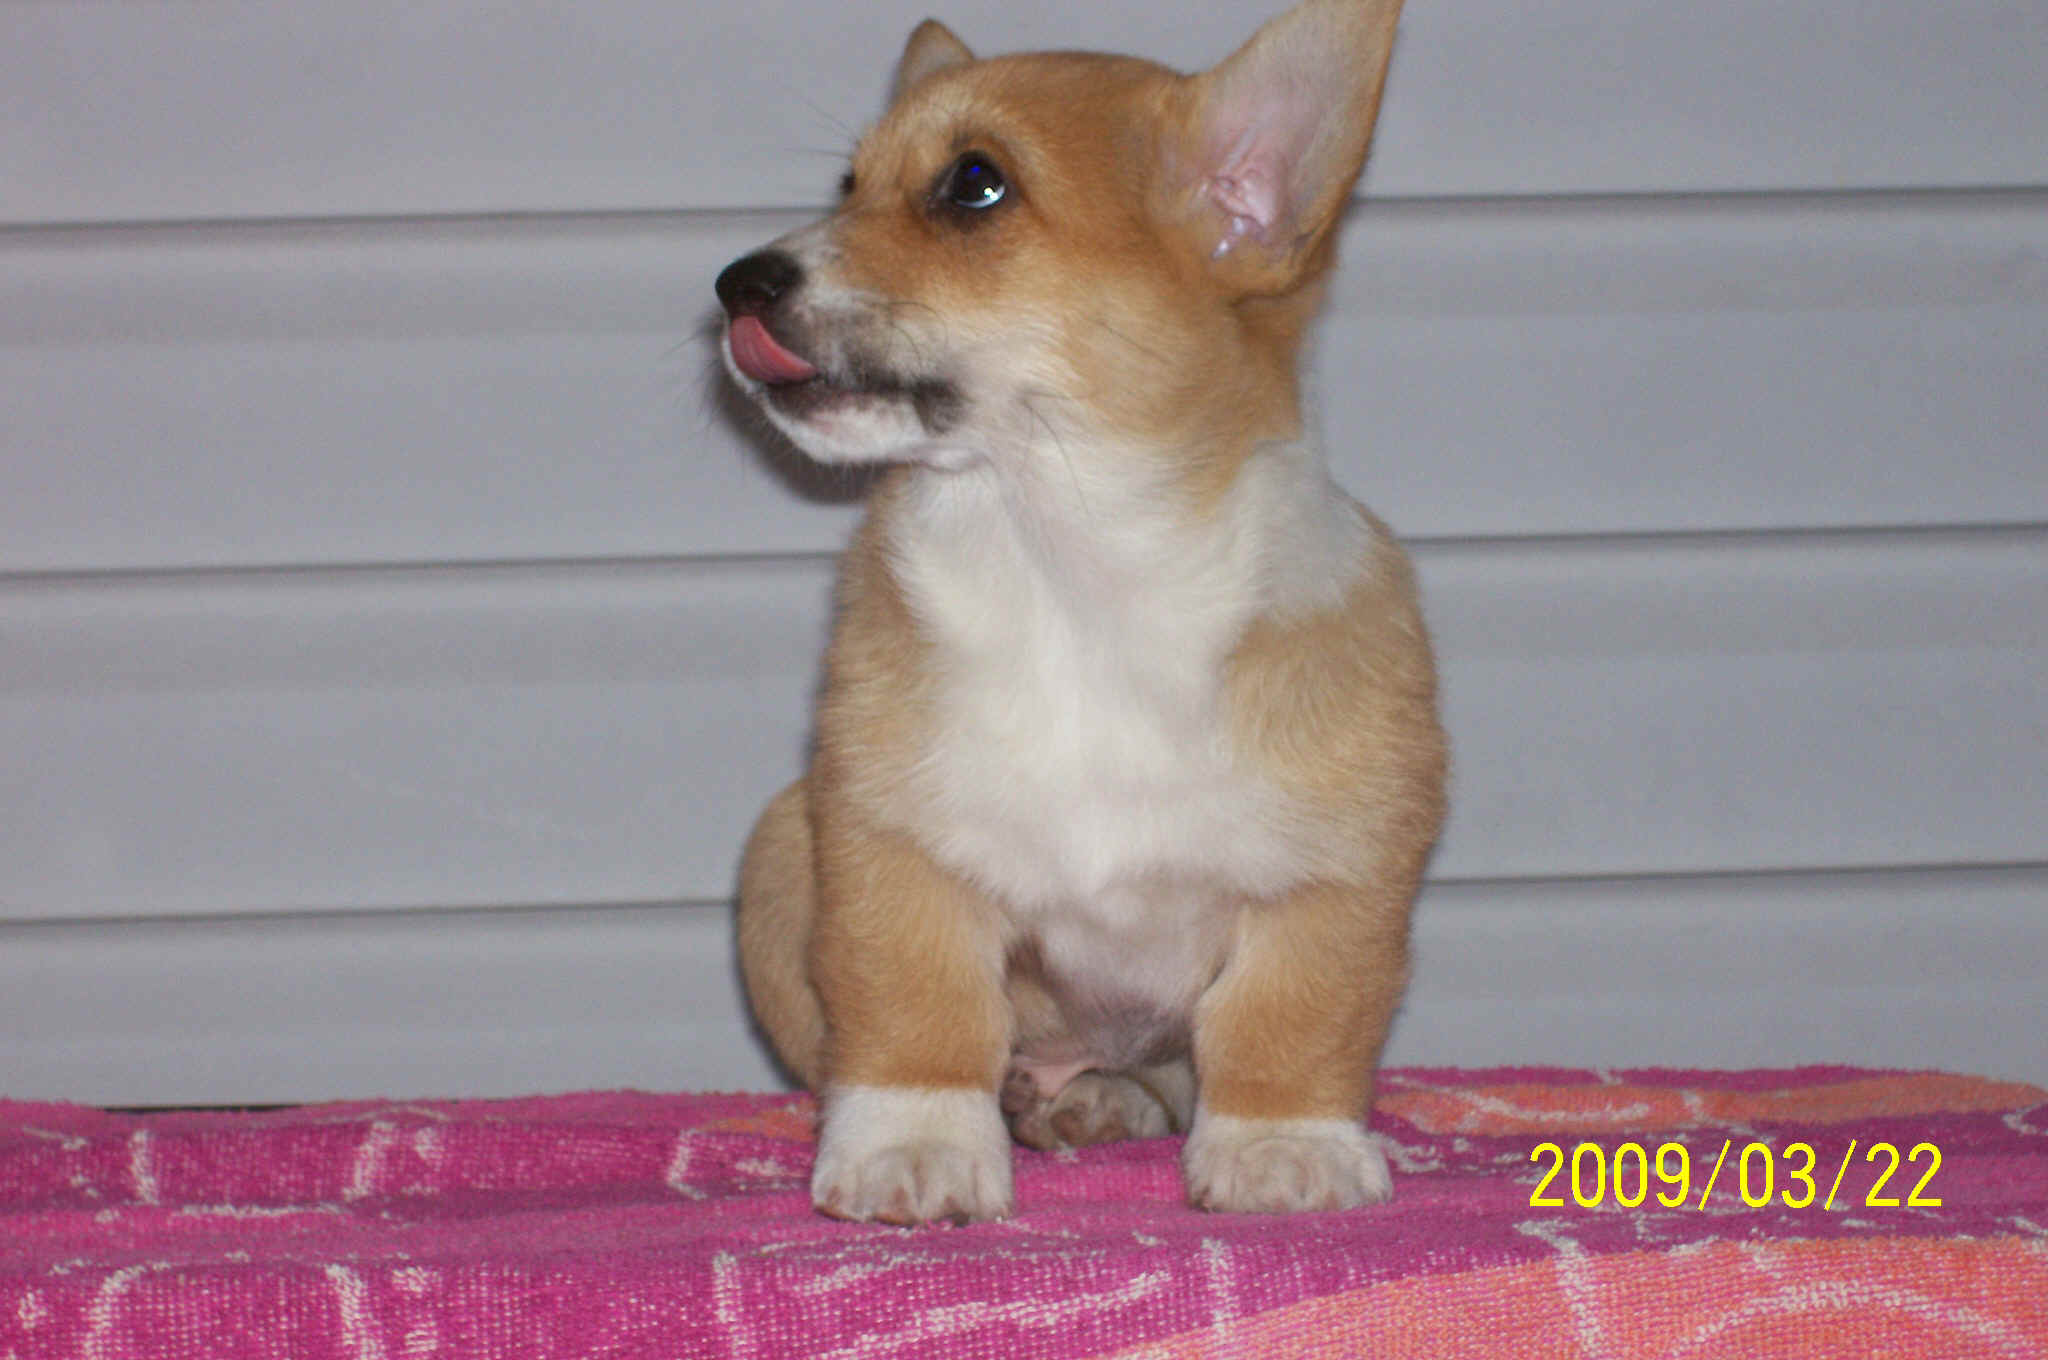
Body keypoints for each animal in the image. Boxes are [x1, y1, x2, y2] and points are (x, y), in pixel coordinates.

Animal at [716, 0, 1444, 1224]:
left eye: (973, 185)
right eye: (849, 183)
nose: (735, 284)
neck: (1066, 567)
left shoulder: (1331, 879)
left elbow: (1287, 1023)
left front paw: (1281, 1147)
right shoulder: (893, 846)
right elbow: (915, 1014)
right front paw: (913, 1147)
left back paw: (1105, 1099)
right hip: (778, 844)